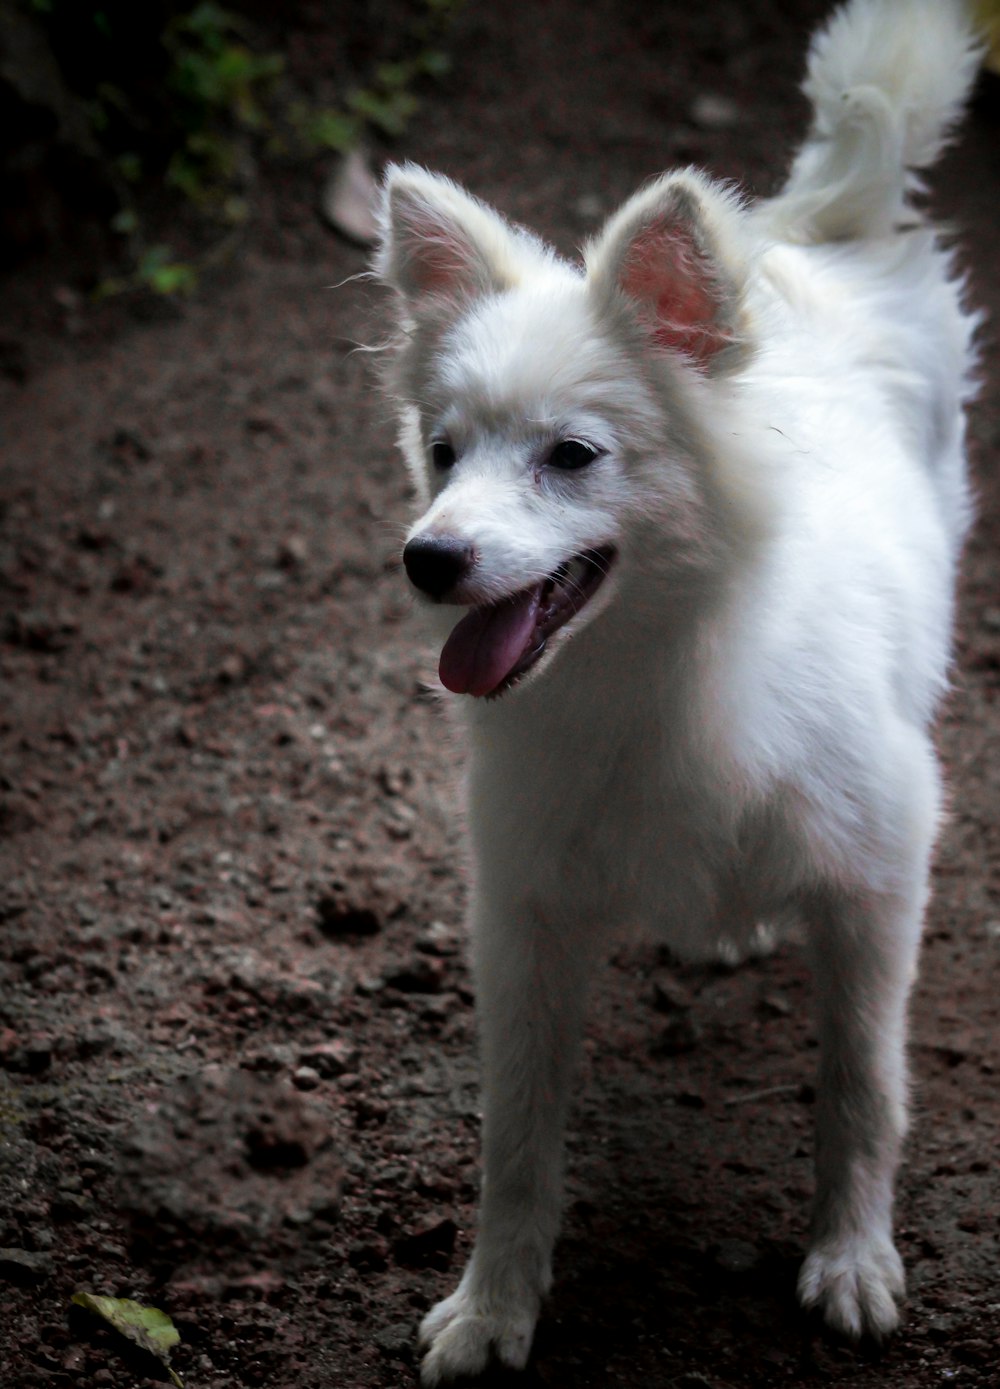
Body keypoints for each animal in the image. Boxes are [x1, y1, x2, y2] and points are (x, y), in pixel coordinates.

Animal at [372, 5, 977, 1383]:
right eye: (442, 451)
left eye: (572, 455)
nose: (428, 557)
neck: (650, 680)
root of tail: (822, 226)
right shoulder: (526, 919)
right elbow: (516, 1141)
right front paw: (494, 1306)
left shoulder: (876, 881)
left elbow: (862, 1091)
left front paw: (850, 1259)